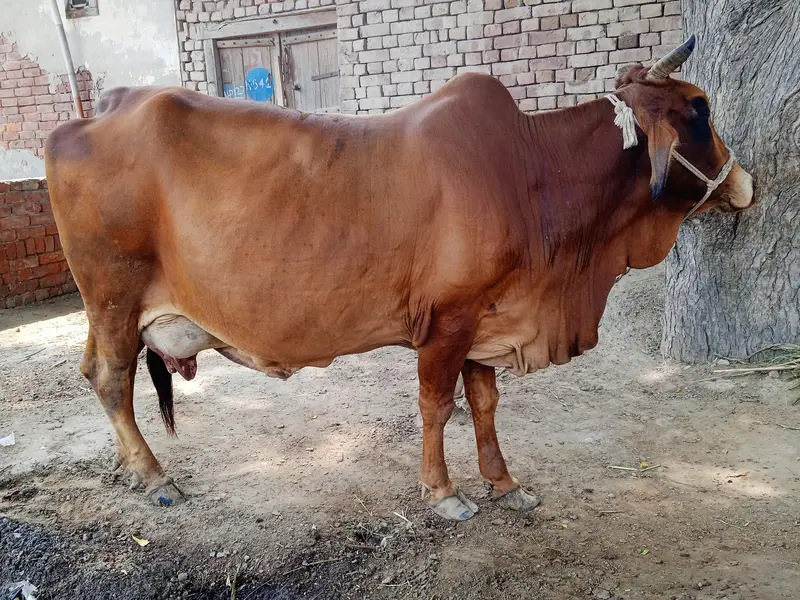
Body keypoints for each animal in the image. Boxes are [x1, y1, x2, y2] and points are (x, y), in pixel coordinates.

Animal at [45, 36, 754, 520]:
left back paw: (128, 466)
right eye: (698, 109)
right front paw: (443, 492)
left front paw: (504, 482)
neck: (534, 173)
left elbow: (486, 405)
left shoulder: (489, 318)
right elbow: (437, 407)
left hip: (108, 309)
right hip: (114, 297)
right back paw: (154, 476)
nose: (746, 182)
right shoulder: (448, 321)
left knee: (95, 375)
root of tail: (95, 111)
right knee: (111, 380)